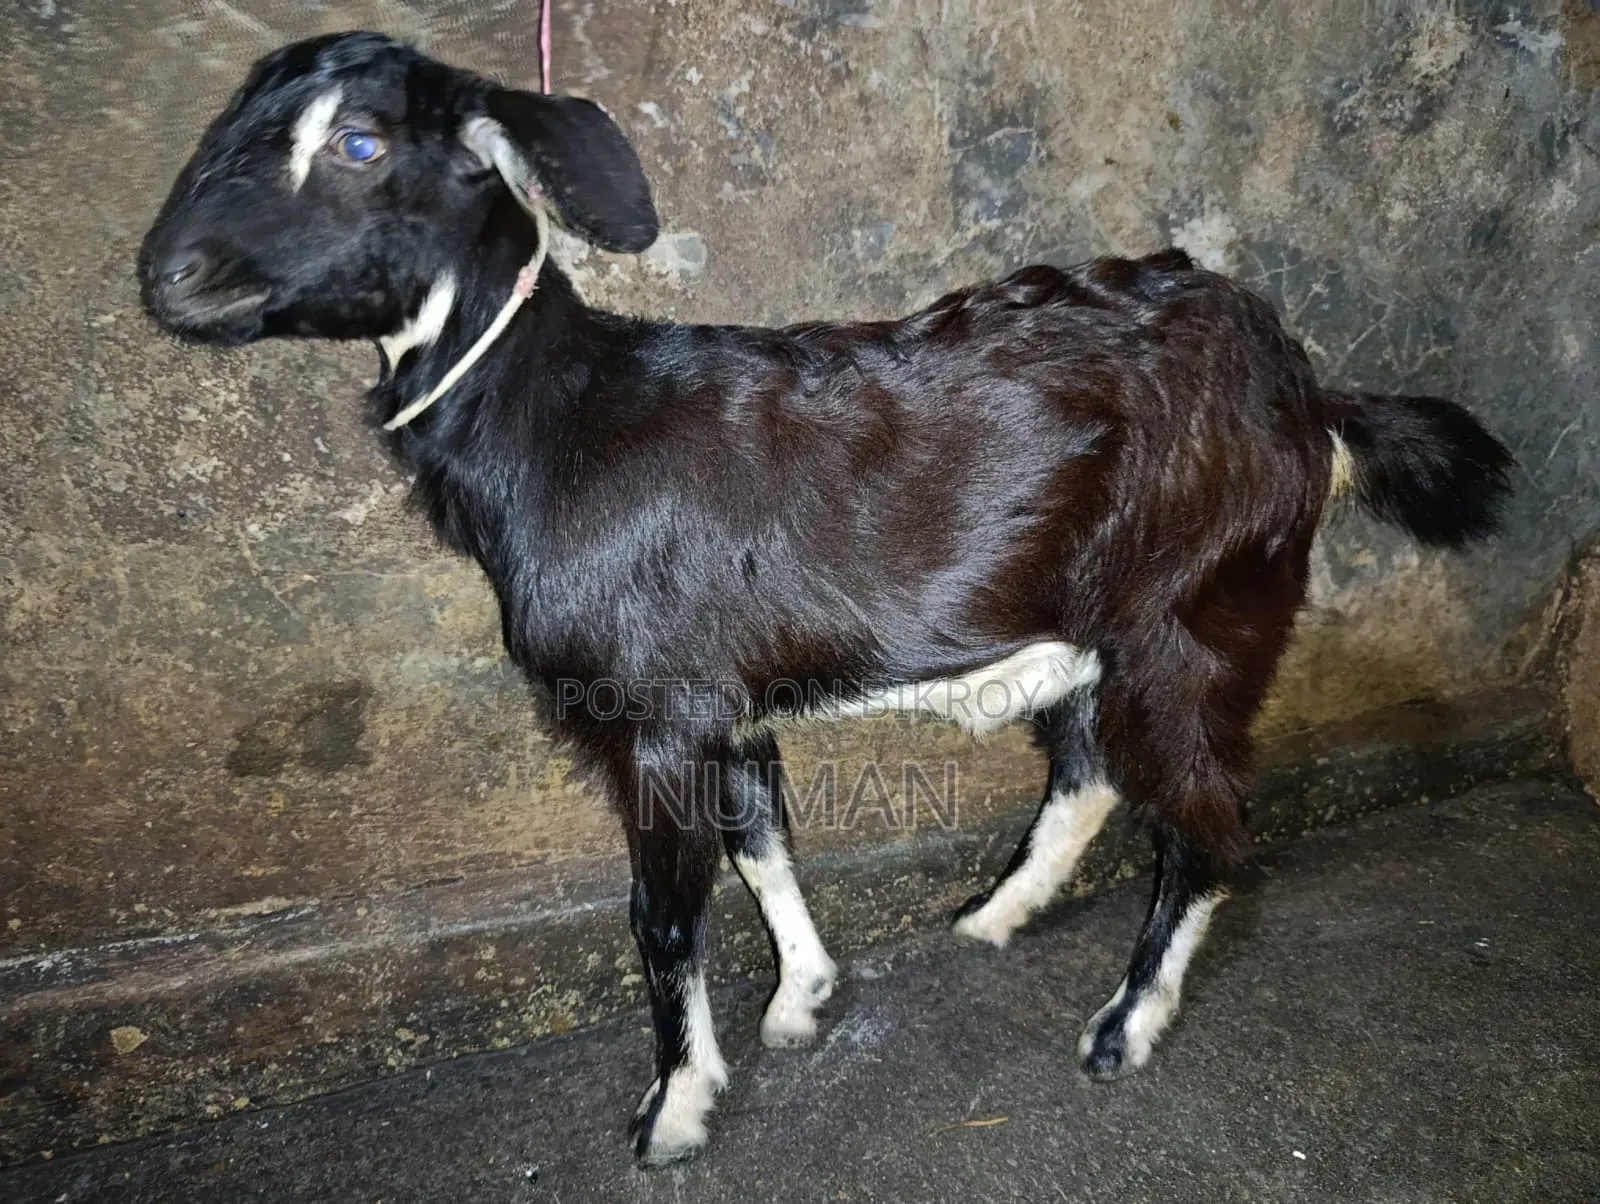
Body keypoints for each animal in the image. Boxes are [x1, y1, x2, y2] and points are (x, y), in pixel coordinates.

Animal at [138, 32, 1513, 1165]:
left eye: (360, 143)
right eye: (231, 125)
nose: (169, 274)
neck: (558, 427)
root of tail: (1309, 396)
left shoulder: (656, 710)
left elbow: (664, 915)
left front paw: (674, 1110)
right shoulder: (725, 702)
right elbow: (764, 843)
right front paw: (800, 1000)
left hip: (1196, 614)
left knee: (1209, 822)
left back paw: (1123, 1025)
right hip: (1097, 627)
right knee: (1088, 773)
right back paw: (991, 915)